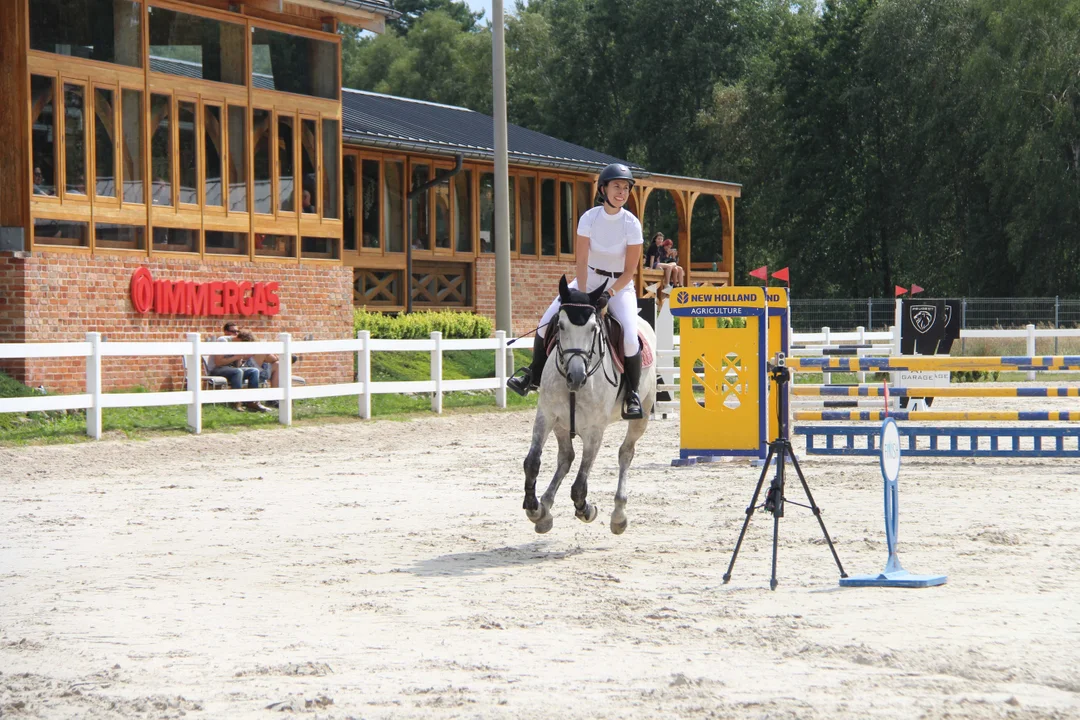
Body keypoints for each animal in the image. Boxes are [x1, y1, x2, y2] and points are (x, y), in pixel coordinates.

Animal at [518, 276, 652, 535]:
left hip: (643, 415)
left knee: (625, 453)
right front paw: (534, 508)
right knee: (566, 457)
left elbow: (580, 484)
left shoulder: (594, 431)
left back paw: (618, 515)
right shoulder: (546, 415)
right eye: (559, 326)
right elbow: (532, 462)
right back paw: (545, 509)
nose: (576, 377)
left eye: (593, 329)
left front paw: (587, 510)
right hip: (562, 424)